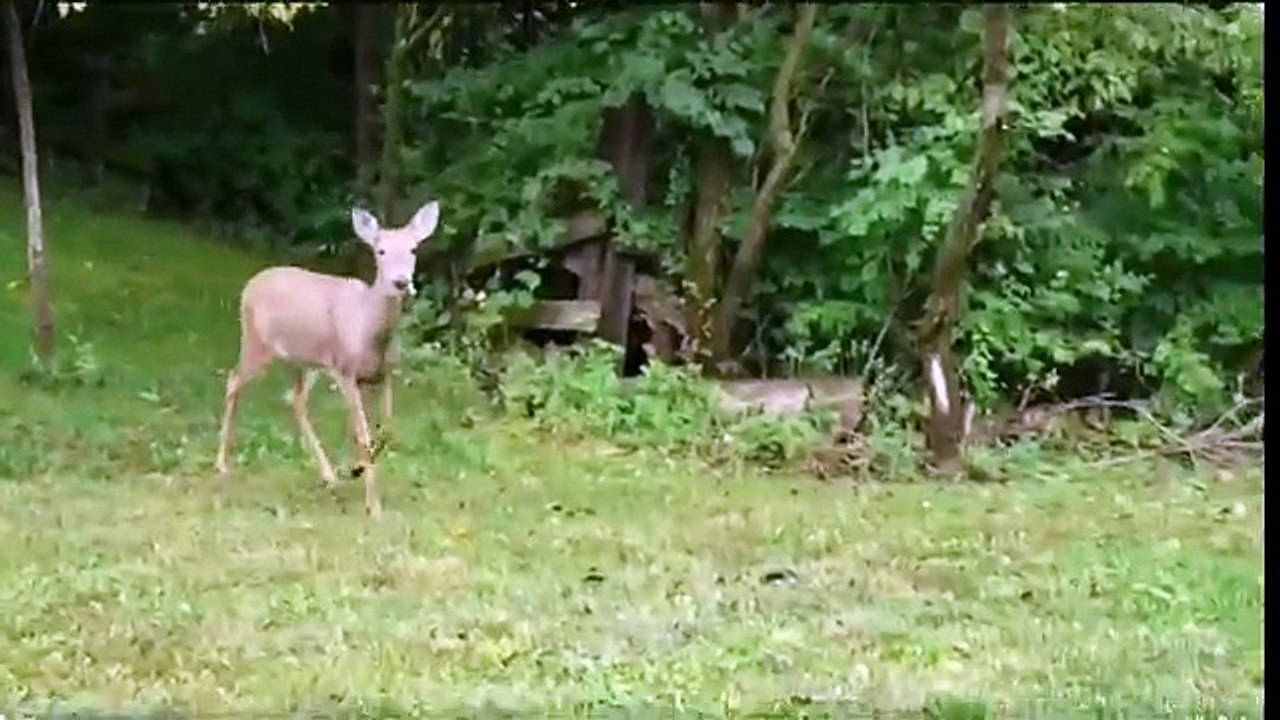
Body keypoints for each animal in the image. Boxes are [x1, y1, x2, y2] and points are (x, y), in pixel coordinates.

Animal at [214, 200, 441, 519]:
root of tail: (251, 284)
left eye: (413, 249)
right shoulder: (345, 370)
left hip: (306, 362)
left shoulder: (384, 374)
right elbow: (363, 433)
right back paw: (221, 464)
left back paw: (329, 475)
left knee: (295, 399)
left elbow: (385, 429)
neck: (369, 330)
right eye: (380, 250)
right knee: (234, 381)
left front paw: (356, 468)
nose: (401, 282)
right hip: (256, 343)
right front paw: (374, 507)